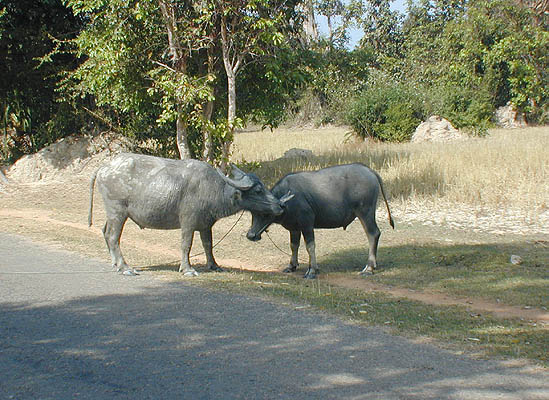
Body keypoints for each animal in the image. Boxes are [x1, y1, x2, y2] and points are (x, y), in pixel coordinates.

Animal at [88, 152, 284, 276]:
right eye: (258, 190)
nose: (280, 205)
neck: (212, 189)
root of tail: (104, 168)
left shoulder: (206, 224)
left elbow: (208, 245)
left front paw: (214, 265)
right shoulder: (188, 222)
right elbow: (186, 245)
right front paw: (187, 269)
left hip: (112, 214)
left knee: (104, 231)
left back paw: (115, 263)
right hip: (118, 211)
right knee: (113, 236)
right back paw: (125, 267)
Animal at [246, 162, 392, 278]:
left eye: (265, 214)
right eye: (253, 212)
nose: (250, 235)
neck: (289, 202)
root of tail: (370, 172)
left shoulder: (307, 225)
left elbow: (310, 246)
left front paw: (312, 270)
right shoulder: (294, 228)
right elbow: (294, 245)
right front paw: (292, 266)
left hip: (365, 212)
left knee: (373, 234)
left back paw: (369, 268)